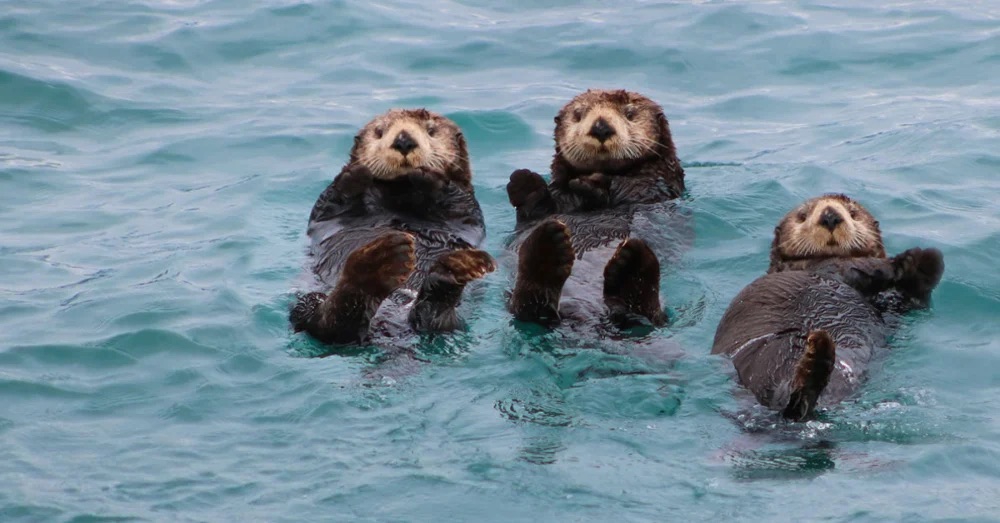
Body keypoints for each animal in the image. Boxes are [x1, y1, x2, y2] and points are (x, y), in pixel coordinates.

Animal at [291, 109, 494, 345]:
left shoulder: (467, 209)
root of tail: (390, 323)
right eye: (379, 132)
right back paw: (379, 263)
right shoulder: (326, 212)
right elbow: (329, 204)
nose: (404, 141)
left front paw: (428, 177)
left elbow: (459, 202)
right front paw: (356, 173)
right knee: (327, 324)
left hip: (454, 323)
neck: (401, 195)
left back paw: (451, 272)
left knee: (433, 322)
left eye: (431, 130)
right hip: (307, 301)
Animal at [505, 89, 686, 327]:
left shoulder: (654, 186)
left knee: (647, 315)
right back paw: (547, 248)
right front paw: (523, 181)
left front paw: (592, 184)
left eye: (630, 113)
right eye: (578, 114)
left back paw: (633, 264)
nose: (601, 127)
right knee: (529, 307)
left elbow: (628, 189)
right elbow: (538, 208)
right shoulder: (555, 202)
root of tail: (584, 314)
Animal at [711, 194, 944, 420]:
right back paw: (816, 357)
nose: (830, 216)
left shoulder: (892, 307)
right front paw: (907, 261)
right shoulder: (827, 266)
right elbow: (859, 266)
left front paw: (921, 264)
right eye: (803, 215)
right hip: (769, 357)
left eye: (853, 212)